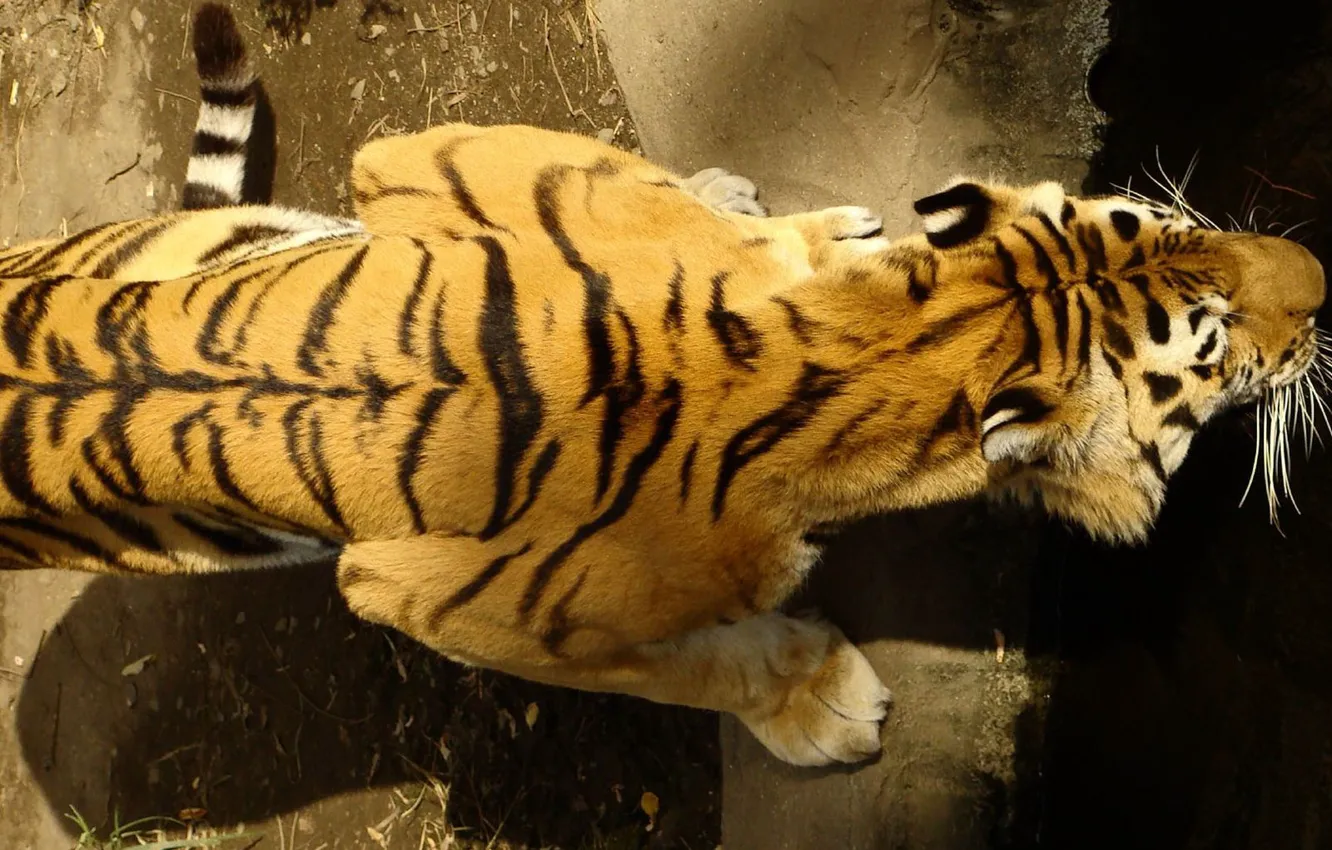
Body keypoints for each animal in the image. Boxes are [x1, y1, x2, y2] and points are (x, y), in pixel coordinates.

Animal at [0, 12, 1323, 770]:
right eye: (1214, 343)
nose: (1320, 276)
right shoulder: (438, 599)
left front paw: (774, 219)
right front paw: (819, 702)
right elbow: (681, 665)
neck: (889, 336)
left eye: (1171, 221)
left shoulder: (425, 158)